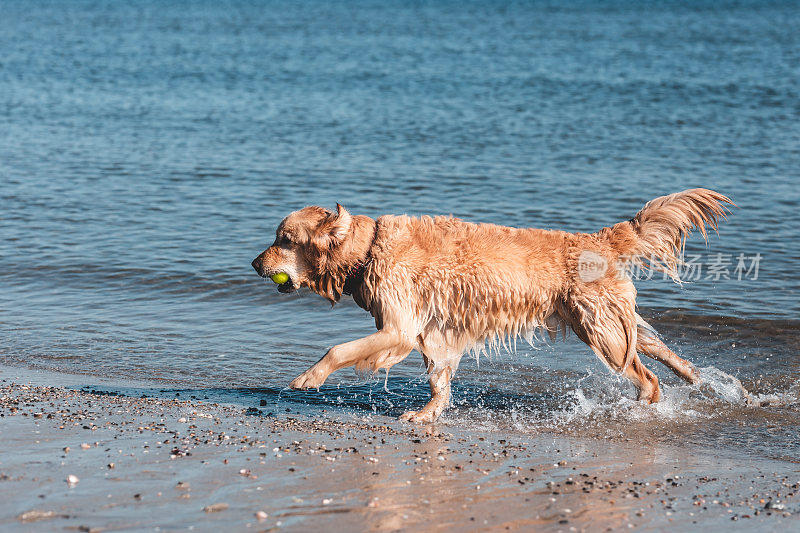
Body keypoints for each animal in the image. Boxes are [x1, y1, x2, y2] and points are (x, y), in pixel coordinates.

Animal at [250, 189, 732, 422]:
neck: (367, 249)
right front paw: (428, 415)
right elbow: (440, 381)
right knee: (659, 349)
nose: (255, 263)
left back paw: (645, 405)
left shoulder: (399, 328)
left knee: (647, 377)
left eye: (284, 239)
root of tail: (598, 239)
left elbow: (338, 349)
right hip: (609, 323)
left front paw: (308, 378)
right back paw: (704, 382)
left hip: (601, 331)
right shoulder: (433, 332)